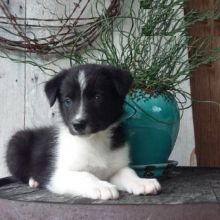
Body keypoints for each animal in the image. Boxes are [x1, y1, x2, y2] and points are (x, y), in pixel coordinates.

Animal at [6, 64, 160, 200]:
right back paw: (34, 180)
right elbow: (85, 175)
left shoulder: (116, 167)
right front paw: (102, 187)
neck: (94, 139)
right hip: (17, 141)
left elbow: (128, 172)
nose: (78, 124)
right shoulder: (59, 175)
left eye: (98, 97)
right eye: (67, 100)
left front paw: (142, 182)